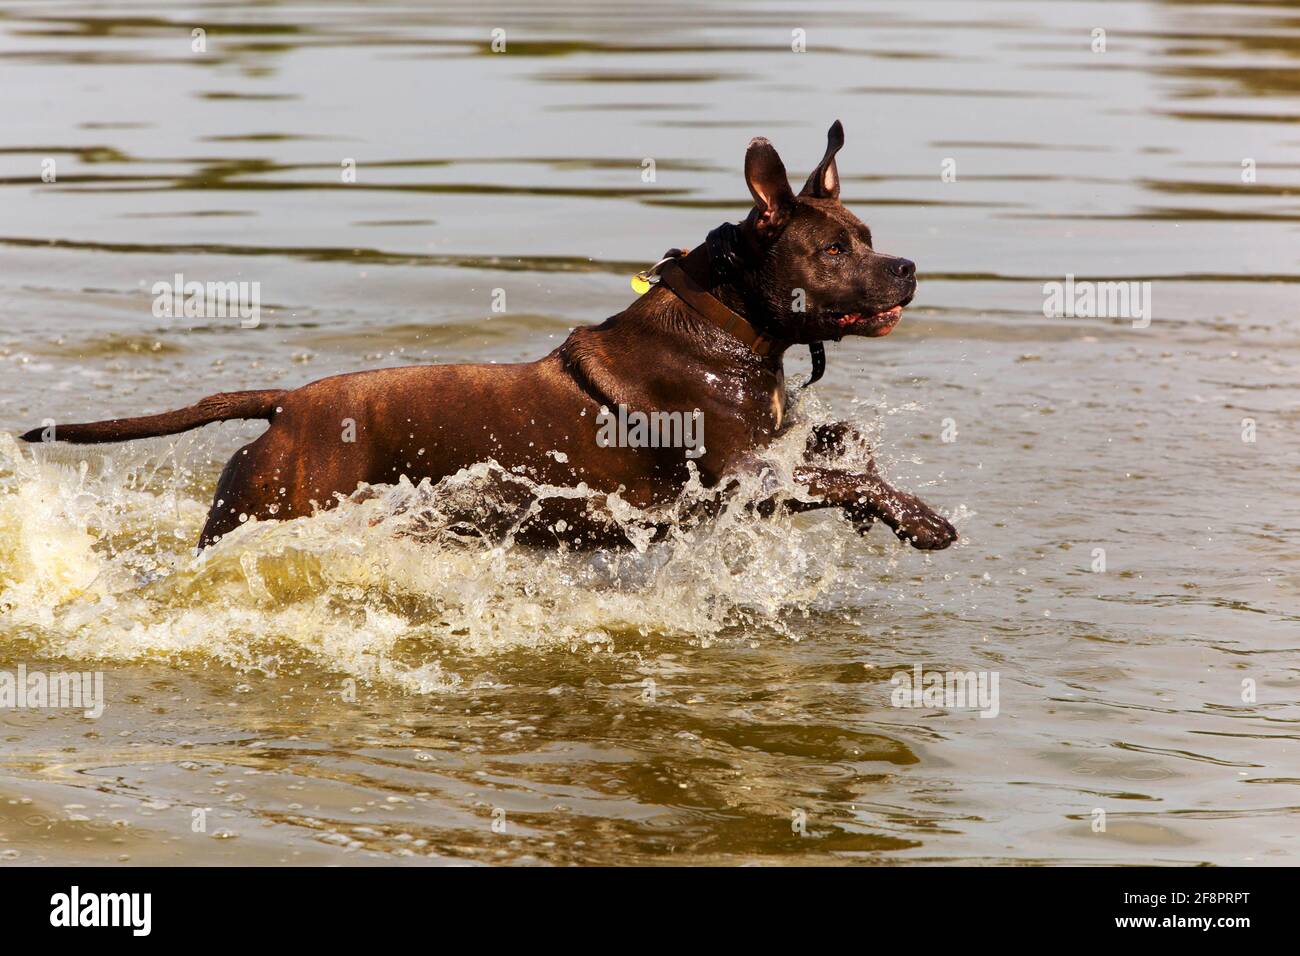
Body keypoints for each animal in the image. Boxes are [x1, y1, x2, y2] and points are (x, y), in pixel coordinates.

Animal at [17, 121, 956, 554]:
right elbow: (847, 480)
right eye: (833, 250)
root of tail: (284, 406)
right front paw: (919, 517)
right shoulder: (738, 486)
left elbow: (842, 449)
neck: (726, 323)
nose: (909, 267)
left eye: (869, 235)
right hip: (263, 508)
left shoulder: (770, 458)